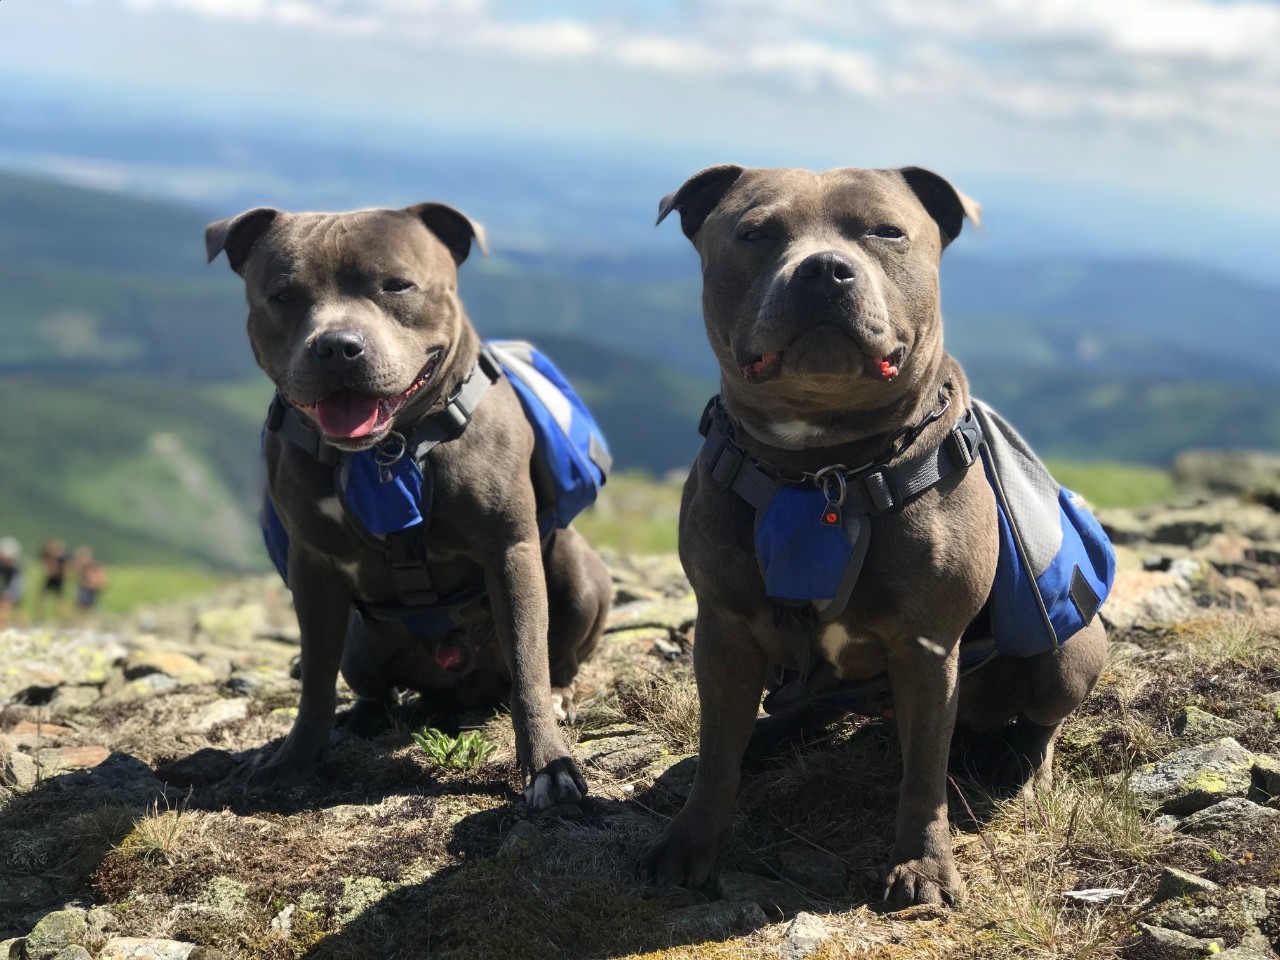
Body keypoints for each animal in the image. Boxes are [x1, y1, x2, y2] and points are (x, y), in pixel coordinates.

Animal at [204, 204, 609, 814]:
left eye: (397, 285)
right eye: (284, 295)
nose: (338, 346)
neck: (387, 450)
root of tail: (456, 690)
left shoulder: (510, 552)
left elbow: (528, 665)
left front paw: (548, 766)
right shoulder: (312, 568)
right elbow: (315, 679)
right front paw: (293, 763)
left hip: (577, 573)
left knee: (553, 659)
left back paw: (560, 691)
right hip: (360, 644)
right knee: (370, 685)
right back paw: (364, 718)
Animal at [640, 165, 1111, 911]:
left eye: (887, 232)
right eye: (755, 232)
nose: (824, 270)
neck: (823, 468)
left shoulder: (927, 648)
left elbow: (924, 774)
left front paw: (922, 867)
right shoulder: (725, 631)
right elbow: (716, 755)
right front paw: (689, 844)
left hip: (1068, 653)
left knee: (1043, 719)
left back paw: (1025, 769)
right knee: (800, 707)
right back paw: (771, 732)